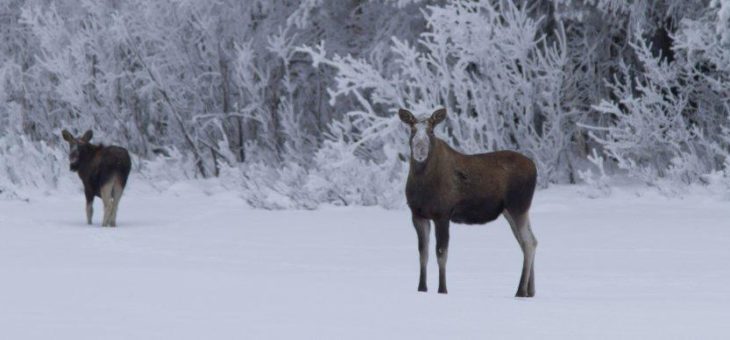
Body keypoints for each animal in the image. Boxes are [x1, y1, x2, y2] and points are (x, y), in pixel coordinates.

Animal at [398, 107, 536, 296]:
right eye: (412, 130)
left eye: (431, 131)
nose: (420, 150)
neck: (422, 182)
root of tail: (535, 168)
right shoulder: (418, 215)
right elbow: (423, 254)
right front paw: (421, 288)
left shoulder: (442, 214)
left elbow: (441, 253)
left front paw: (442, 289)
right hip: (512, 211)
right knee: (530, 241)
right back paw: (531, 291)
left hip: (518, 206)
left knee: (528, 243)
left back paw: (520, 291)